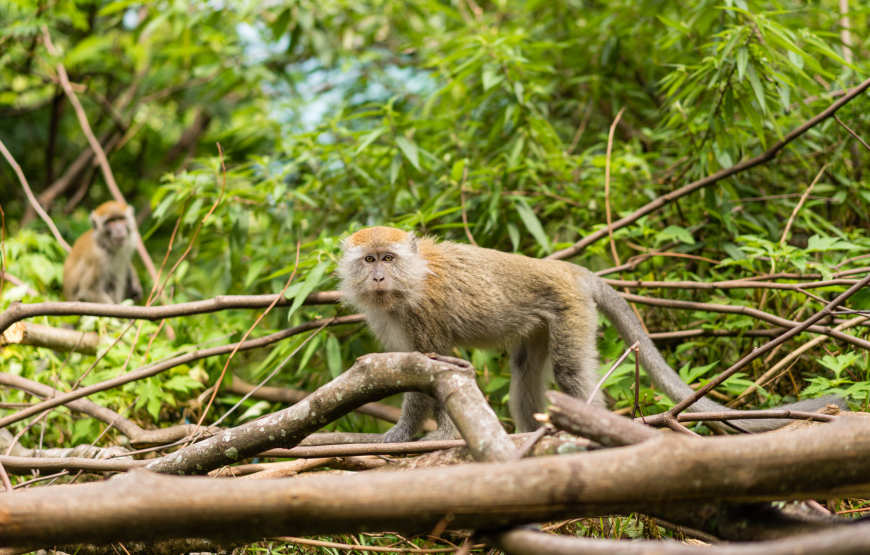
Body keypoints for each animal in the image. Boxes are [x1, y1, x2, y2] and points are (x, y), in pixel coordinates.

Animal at [338, 227, 844, 444]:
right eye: (369, 260)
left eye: (387, 259)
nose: (378, 278)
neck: (410, 278)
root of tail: (568, 270)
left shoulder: (422, 313)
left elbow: (432, 369)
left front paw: (413, 436)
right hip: (543, 322)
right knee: (525, 373)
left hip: (571, 312)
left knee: (570, 373)